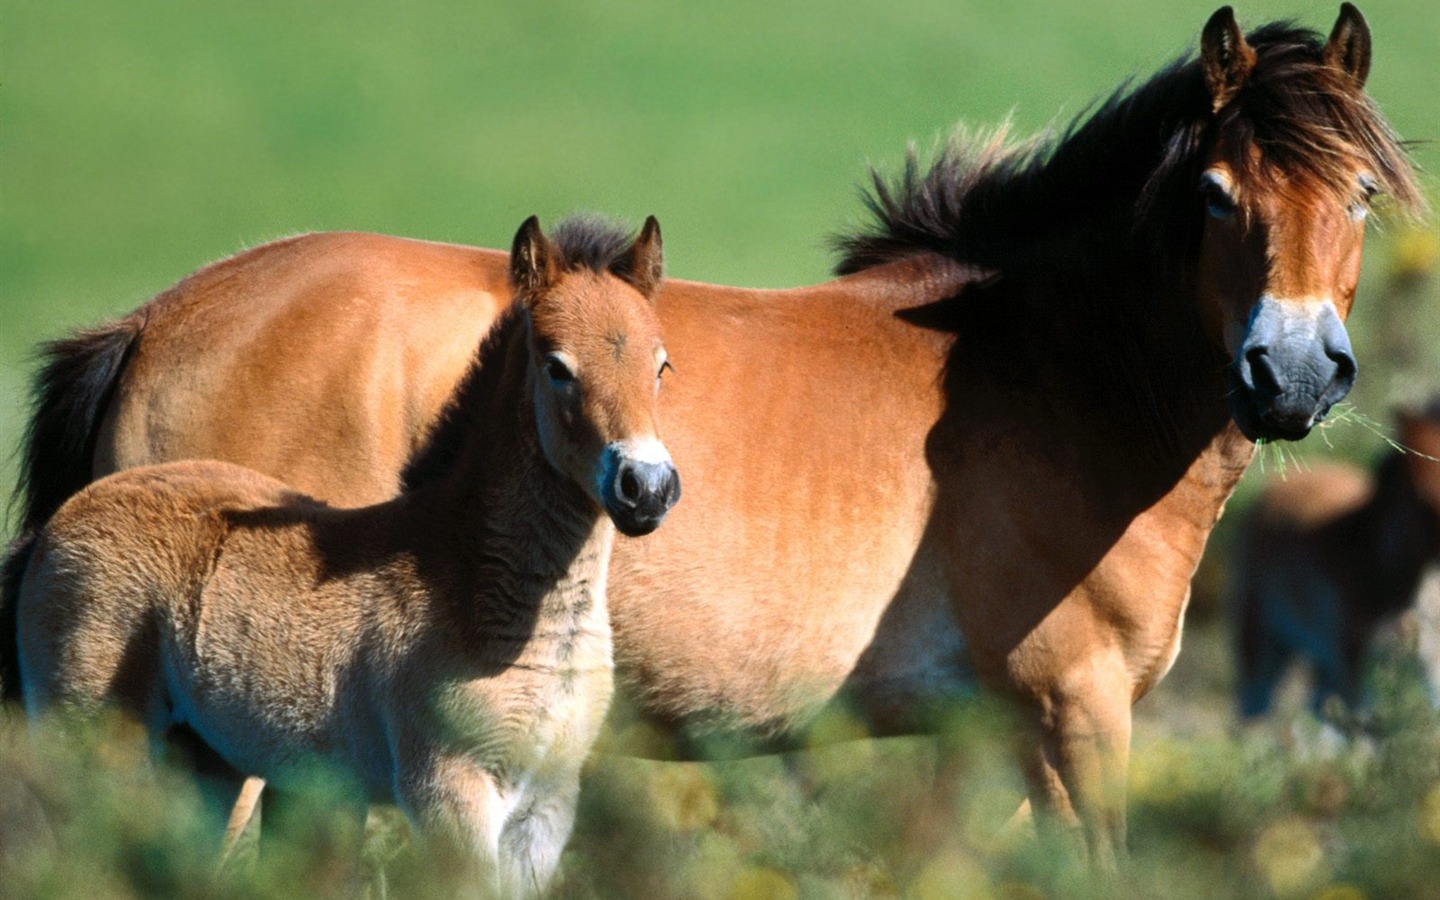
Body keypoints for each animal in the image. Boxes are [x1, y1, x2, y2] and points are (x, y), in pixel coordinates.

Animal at [15, 214, 679, 892]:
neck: (469, 576)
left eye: (661, 365)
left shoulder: (545, 806)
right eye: (557, 367)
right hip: (93, 741)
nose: (646, 487)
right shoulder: (449, 792)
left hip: (204, 759)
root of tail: (62, 520)